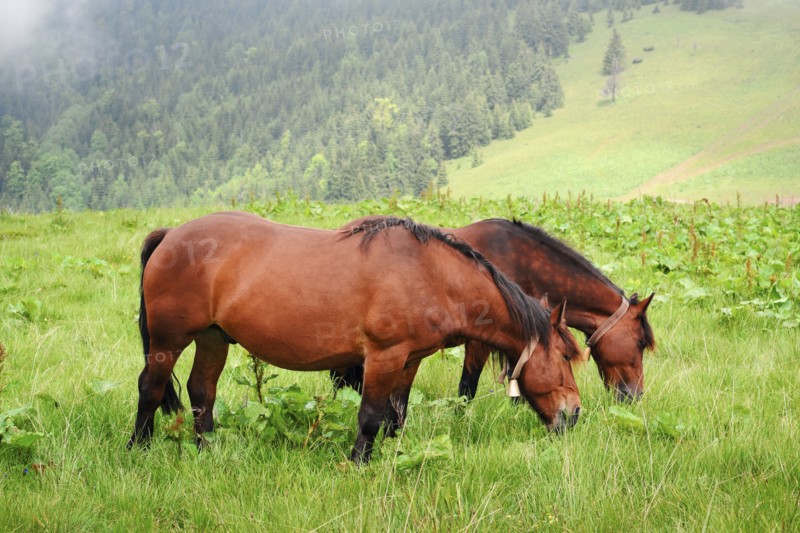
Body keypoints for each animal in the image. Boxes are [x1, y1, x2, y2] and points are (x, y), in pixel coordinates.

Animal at [128, 212, 582, 464]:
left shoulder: (409, 359)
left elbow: (397, 416)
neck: (430, 273)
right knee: (150, 388)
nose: (575, 414)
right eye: (564, 357)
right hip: (168, 342)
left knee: (201, 392)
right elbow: (370, 416)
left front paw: (395, 455)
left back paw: (207, 451)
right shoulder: (383, 357)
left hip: (213, 338)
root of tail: (170, 235)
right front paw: (359, 462)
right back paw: (138, 449)